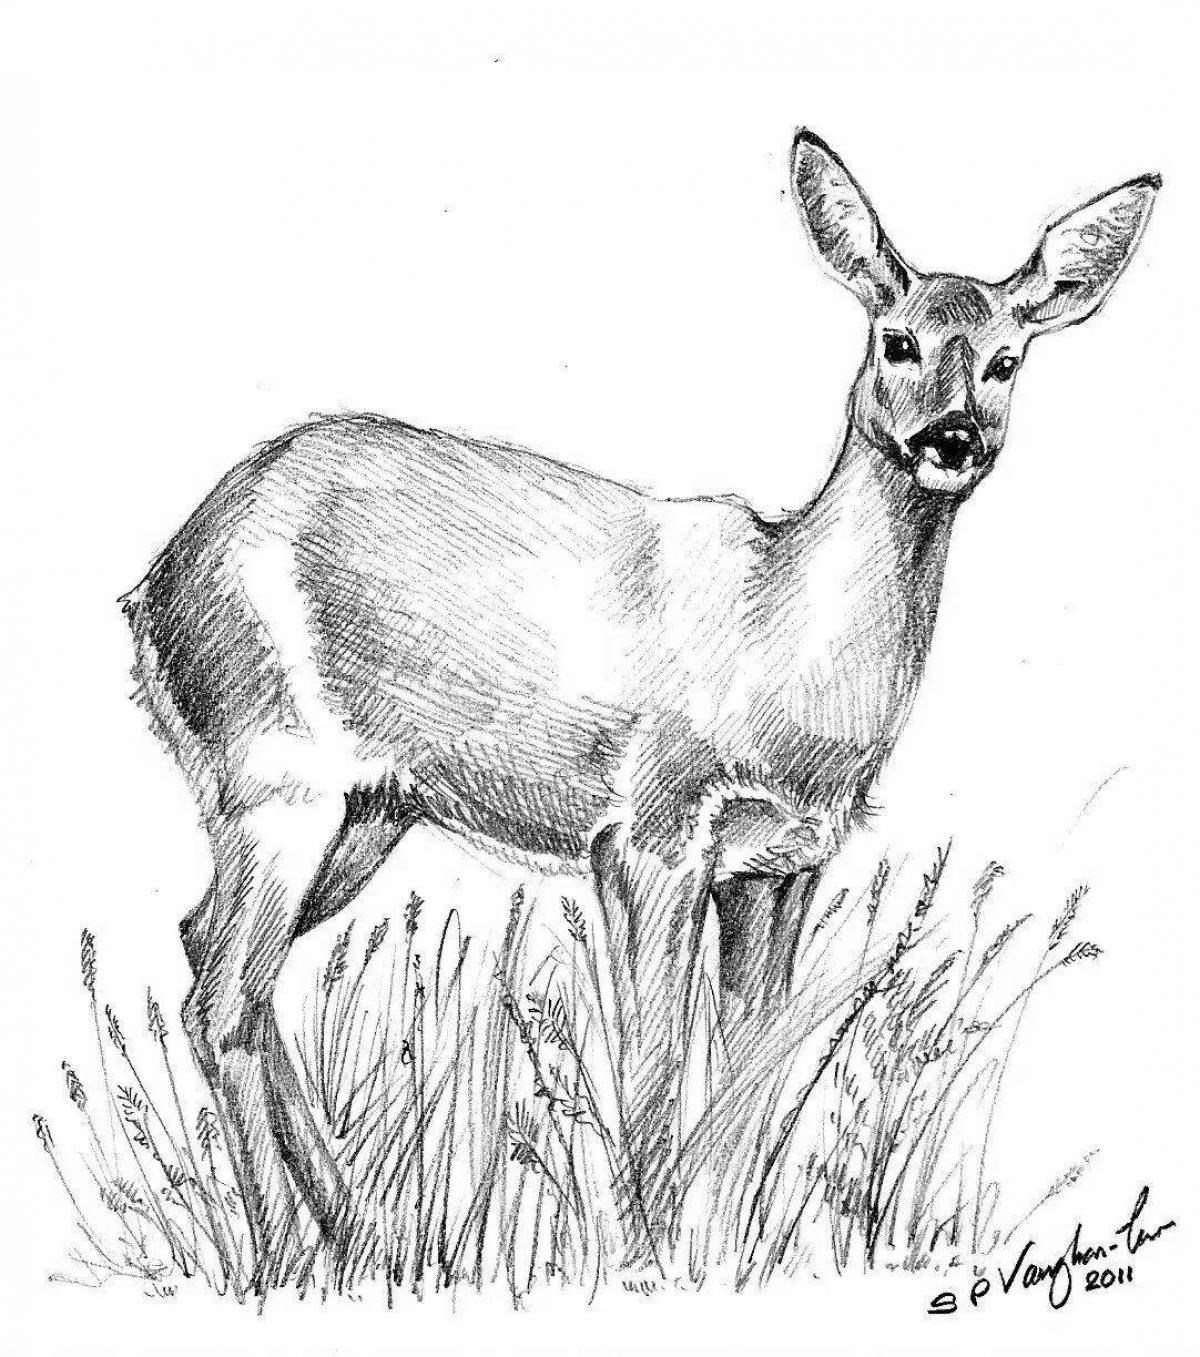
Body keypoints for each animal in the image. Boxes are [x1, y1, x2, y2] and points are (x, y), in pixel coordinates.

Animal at [121, 130, 1158, 1288]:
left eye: (1007, 360)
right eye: (897, 340)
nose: (954, 436)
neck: (778, 639)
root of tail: (153, 587)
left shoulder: (781, 863)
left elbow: (751, 1068)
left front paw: (731, 1250)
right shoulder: (653, 830)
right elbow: (654, 1070)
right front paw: (648, 1261)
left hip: (368, 806)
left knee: (212, 951)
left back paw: (370, 1241)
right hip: (275, 766)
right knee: (220, 997)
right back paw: (287, 1263)